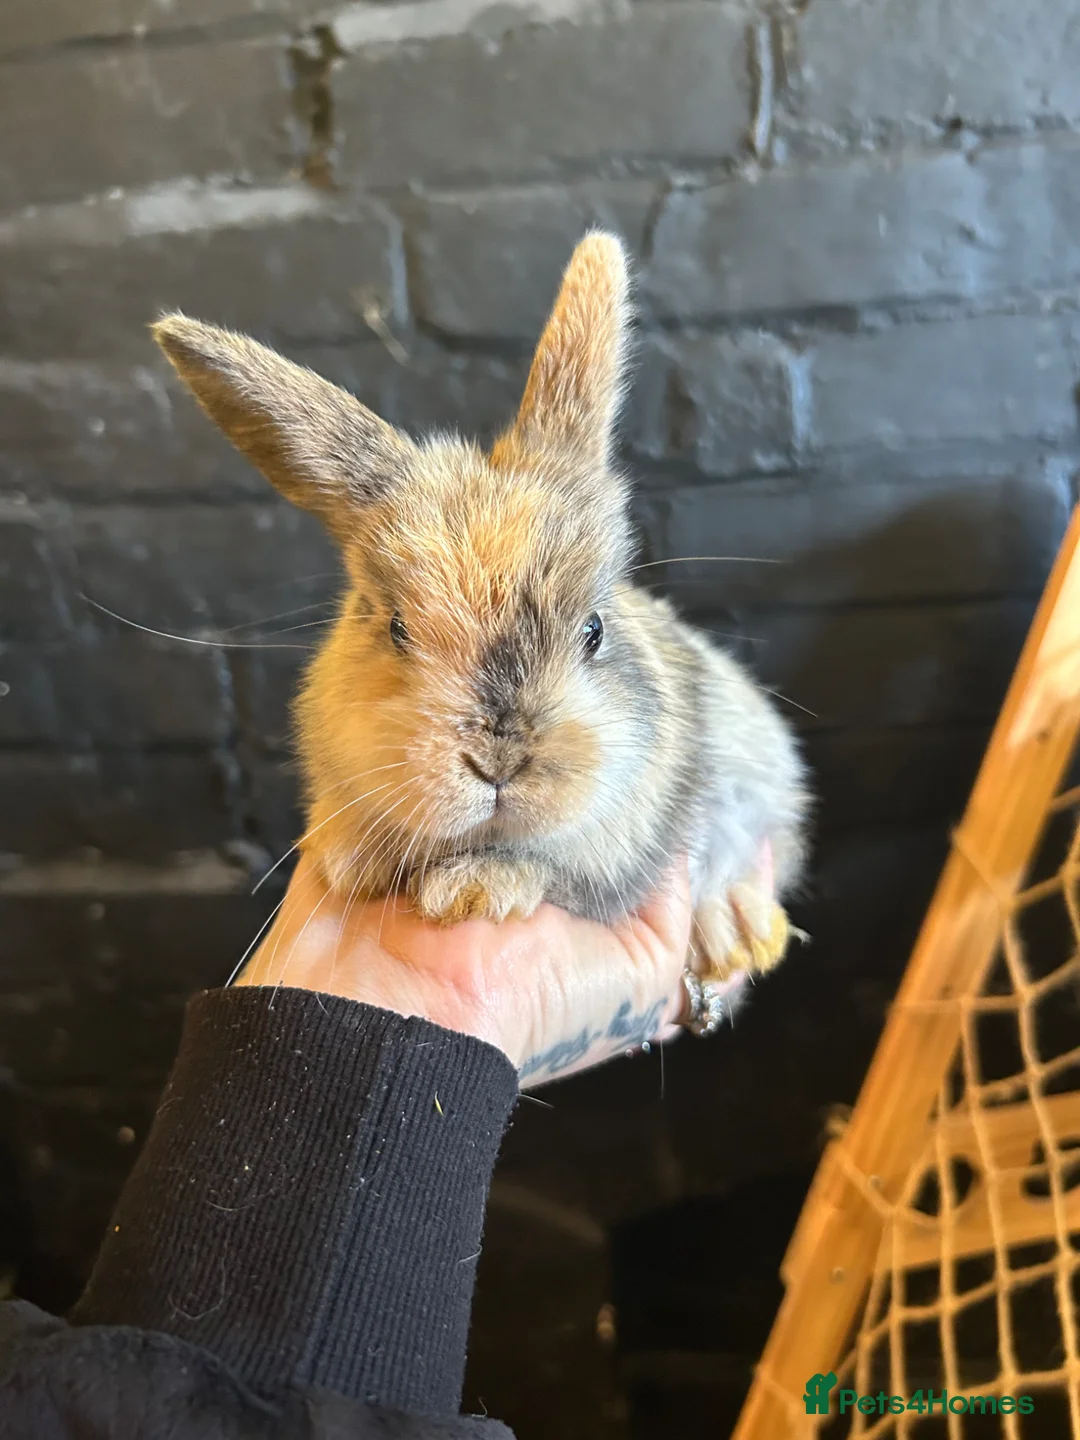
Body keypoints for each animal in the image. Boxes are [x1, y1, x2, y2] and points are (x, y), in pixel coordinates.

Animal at [152, 232, 809, 983]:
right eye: (396, 627)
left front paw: (474, 890)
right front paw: (352, 857)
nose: (498, 763)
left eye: (594, 630)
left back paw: (737, 932)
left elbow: (551, 870)